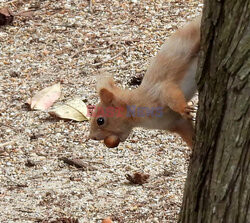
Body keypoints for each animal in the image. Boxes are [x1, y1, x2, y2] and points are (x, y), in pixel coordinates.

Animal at [89, 16, 200, 147]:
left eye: (100, 120)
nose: (92, 137)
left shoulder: (158, 92)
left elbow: (171, 96)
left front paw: (184, 108)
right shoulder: (175, 122)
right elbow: (187, 132)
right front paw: (193, 147)